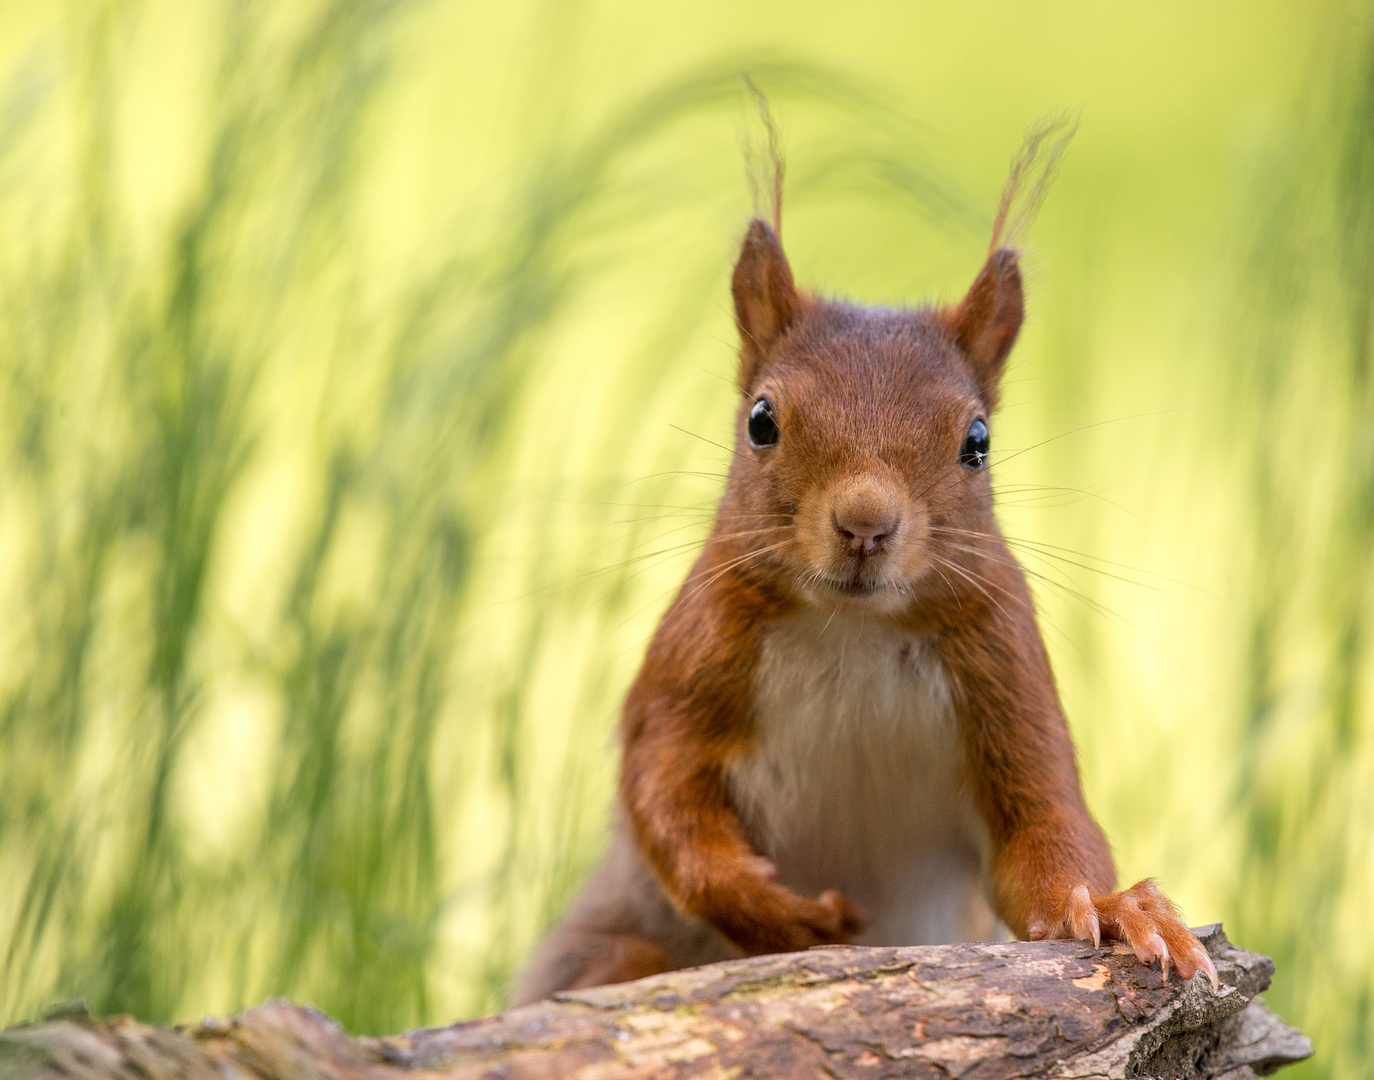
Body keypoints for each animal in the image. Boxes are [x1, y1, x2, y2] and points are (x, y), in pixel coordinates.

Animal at [513, 142, 1214, 1000]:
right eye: (761, 421)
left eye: (978, 441)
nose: (865, 524)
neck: (853, 629)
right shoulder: (692, 658)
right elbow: (663, 787)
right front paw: (774, 912)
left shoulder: (1008, 672)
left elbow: (1045, 827)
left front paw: (1120, 910)